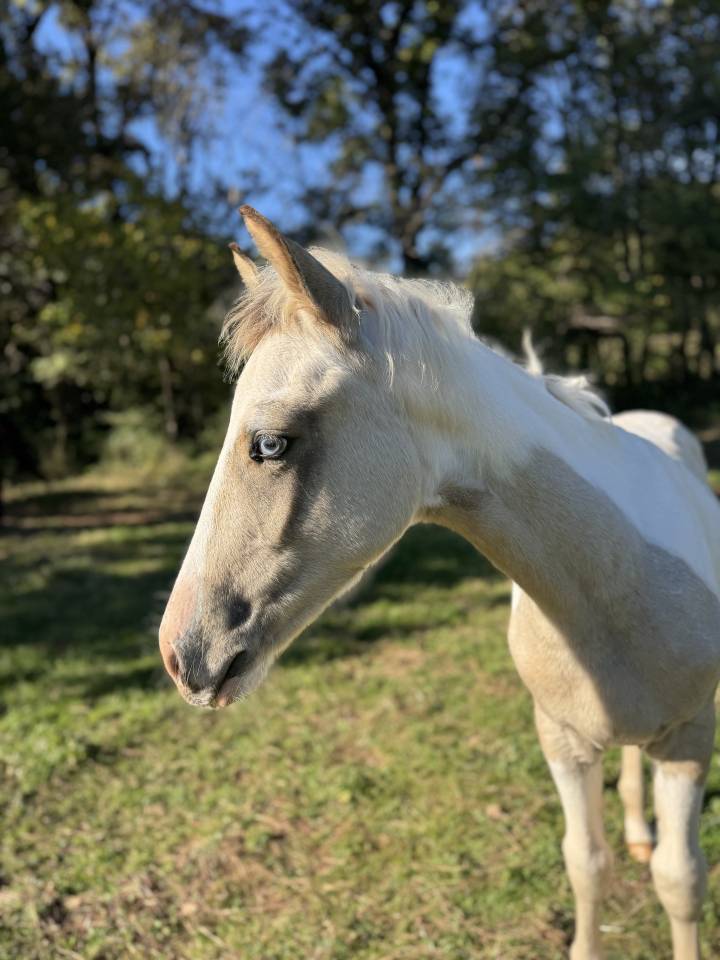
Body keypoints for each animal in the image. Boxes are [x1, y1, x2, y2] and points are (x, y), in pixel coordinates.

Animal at [159, 206, 720, 960]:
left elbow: (679, 881)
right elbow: (586, 862)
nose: (179, 652)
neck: (615, 587)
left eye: (271, 443)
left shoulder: (690, 739)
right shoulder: (564, 739)